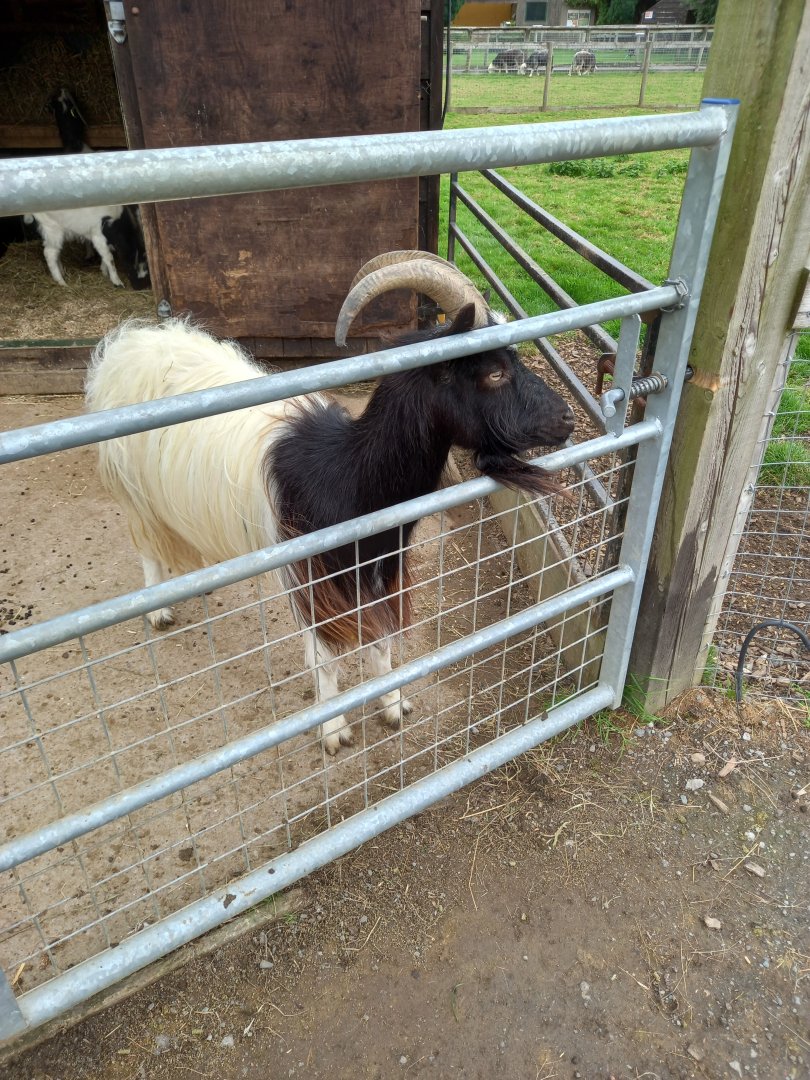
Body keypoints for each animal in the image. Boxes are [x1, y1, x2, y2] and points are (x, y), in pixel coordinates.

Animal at [30, 88, 150, 290]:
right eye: (132, 266)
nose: (141, 286)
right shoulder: (98, 234)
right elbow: (109, 257)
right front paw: (116, 280)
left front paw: (103, 271)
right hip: (52, 226)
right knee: (50, 252)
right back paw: (62, 282)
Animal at [85, 252, 575, 755]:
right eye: (494, 372)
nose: (568, 418)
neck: (349, 473)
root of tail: (129, 343)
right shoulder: (313, 572)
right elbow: (324, 656)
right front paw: (334, 730)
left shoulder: (379, 561)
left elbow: (381, 640)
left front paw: (393, 705)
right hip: (133, 488)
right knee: (146, 544)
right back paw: (158, 610)